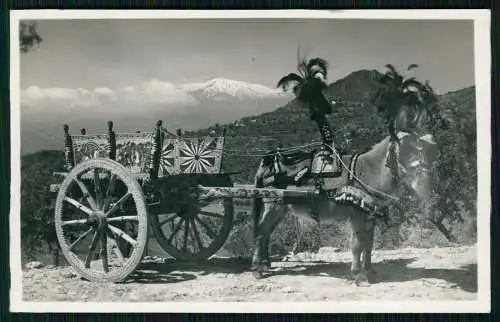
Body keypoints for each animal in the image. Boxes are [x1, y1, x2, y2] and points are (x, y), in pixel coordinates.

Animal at [250, 128, 438, 284]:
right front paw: (358, 275)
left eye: (430, 154)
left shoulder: (370, 216)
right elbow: (357, 244)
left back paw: (265, 263)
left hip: (281, 208)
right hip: (272, 205)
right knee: (261, 232)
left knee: (267, 233)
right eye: (408, 151)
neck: (371, 171)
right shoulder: (357, 216)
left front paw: (370, 272)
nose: (425, 186)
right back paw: (257, 268)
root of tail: (267, 161)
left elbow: (369, 244)